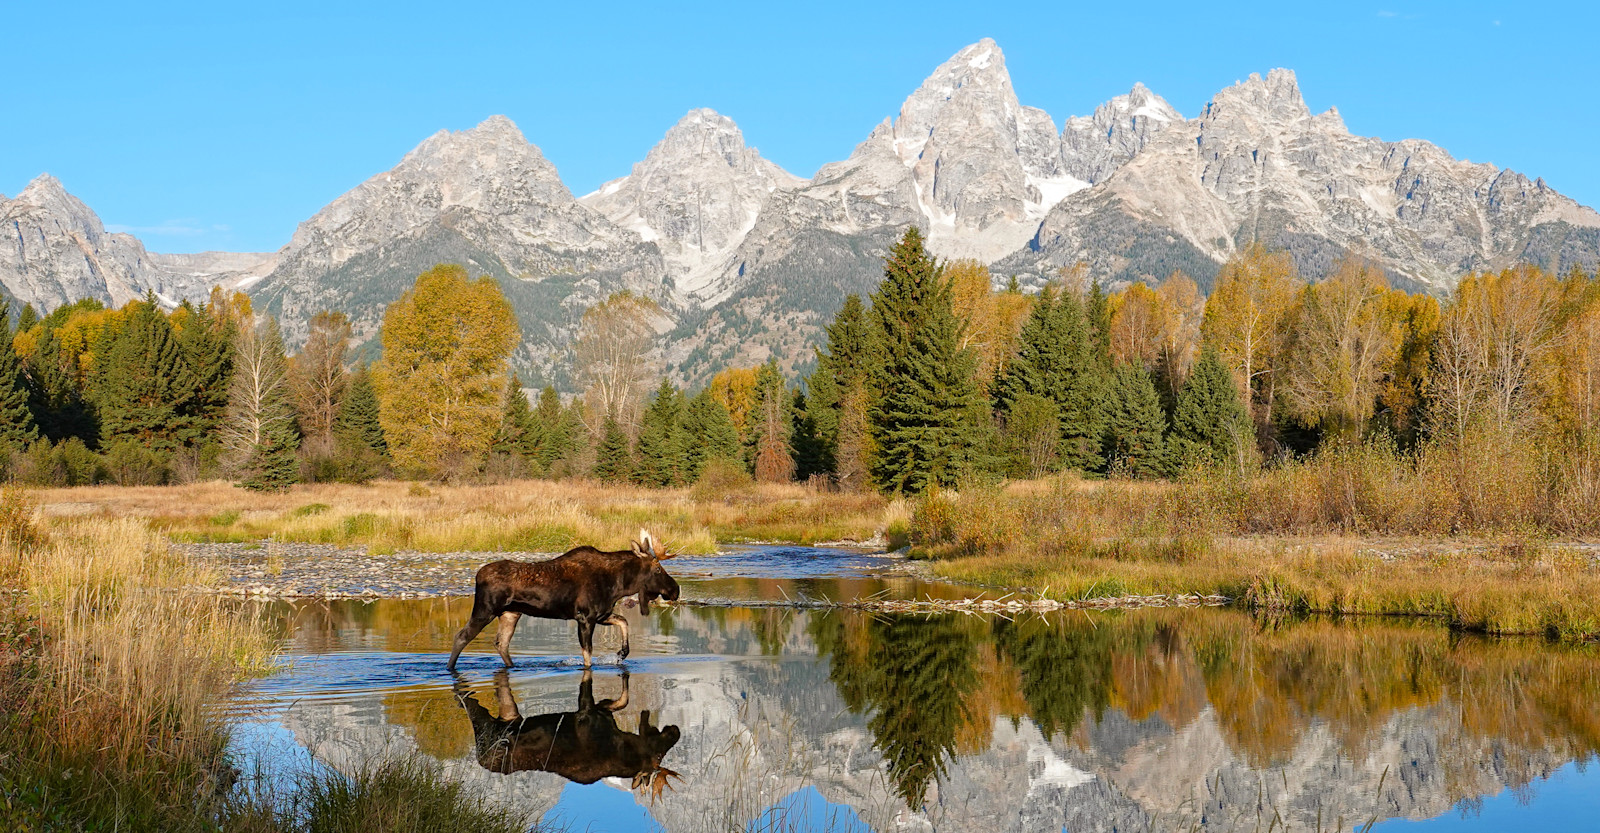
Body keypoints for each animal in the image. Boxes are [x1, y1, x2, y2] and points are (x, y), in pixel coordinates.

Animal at [446, 529, 681, 671]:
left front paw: (621, 653)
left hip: (511, 613)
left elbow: (623, 621)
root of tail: (477, 575)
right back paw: (450, 668)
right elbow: (587, 657)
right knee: (461, 636)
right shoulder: (585, 617)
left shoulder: (601, 614)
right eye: (658, 569)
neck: (619, 584)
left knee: (501, 642)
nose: (675, 589)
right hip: (485, 609)